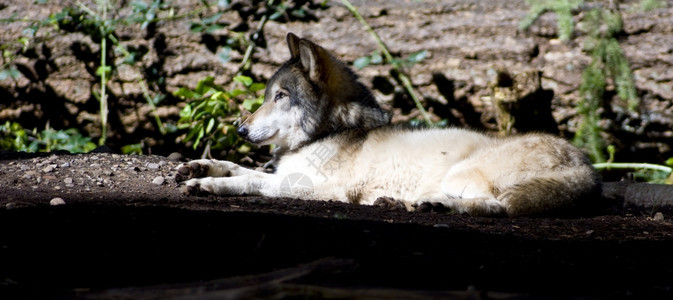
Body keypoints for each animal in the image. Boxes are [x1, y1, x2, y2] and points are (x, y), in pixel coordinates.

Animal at [173, 32, 600, 216]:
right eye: (266, 96)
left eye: (280, 96)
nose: (240, 130)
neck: (332, 130)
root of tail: (587, 167)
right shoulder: (285, 173)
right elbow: (240, 167)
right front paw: (200, 165)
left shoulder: (312, 187)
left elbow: (252, 182)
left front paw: (209, 185)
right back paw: (405, 202)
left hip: (462, 175)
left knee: (495, 207)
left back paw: (434, 205)